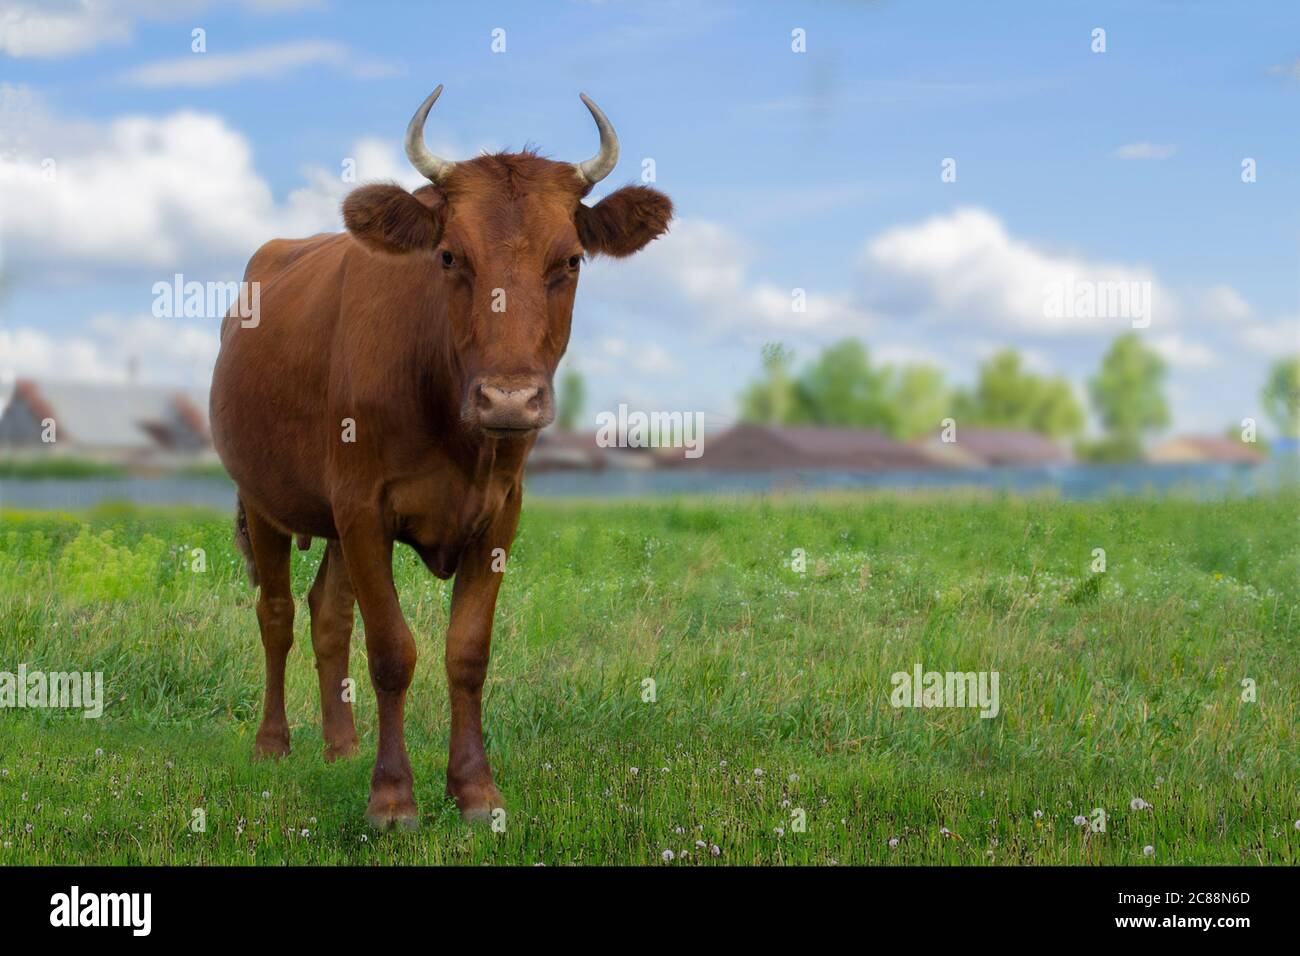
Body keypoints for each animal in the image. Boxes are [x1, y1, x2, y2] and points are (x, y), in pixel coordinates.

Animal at [209, 87, 672, 827]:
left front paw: (476, 791)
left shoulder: (498, 514)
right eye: (451, 256)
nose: (509, 398)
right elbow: (393, 652)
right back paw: (273, 745)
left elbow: (467, 653)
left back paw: (340, 747)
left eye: (570, 261)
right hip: (263, 500)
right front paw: (392, 798)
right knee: (276, 615)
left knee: (327, 615)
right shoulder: (364, 507)